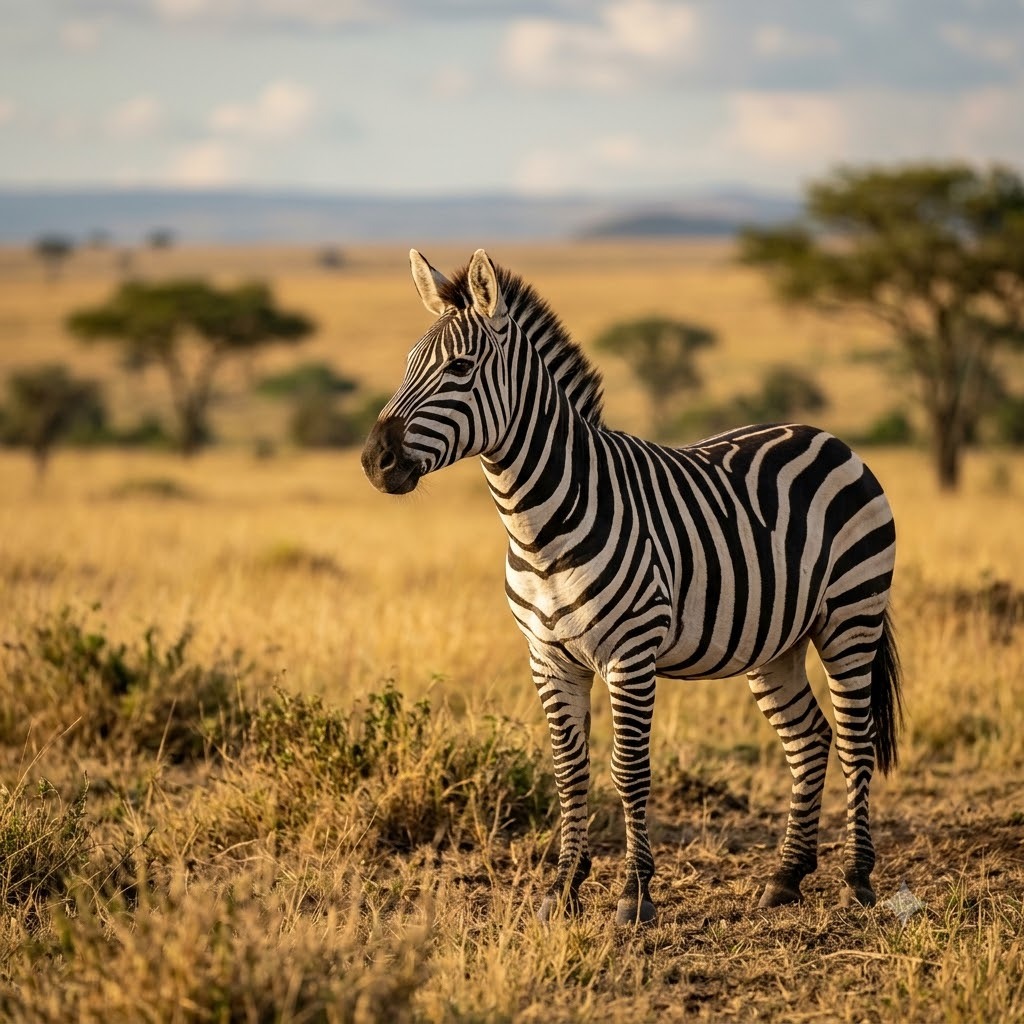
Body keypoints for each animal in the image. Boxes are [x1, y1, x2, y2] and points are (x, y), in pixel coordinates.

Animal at [361, 248, 903, 926]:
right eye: (408, 363)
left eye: (460, 368)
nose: (374, 461)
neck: (538, 528)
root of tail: (827, 436)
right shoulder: (547, 657)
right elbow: (569, 772)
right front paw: (563, 887)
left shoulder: (630, 653)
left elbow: (628, 769)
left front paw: (634, 893)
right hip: (776, 642)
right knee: (809, 738)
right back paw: (785, 877)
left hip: (851, 615)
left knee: (855, 739)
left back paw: (857, 879)